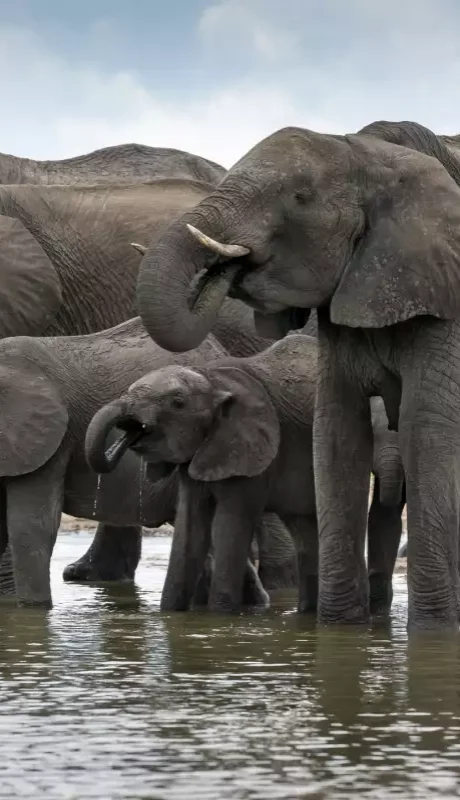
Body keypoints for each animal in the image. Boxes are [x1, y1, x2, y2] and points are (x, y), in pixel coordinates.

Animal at [86, 333, 406, 615]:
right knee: (305, 532)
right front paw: (173, 618)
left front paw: (221, 620)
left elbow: (229, 525)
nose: (127, 434)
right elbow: (190, 528)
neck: (213, 380)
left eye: (177, 402)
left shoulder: (252, 451)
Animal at [134, 119, 460, 631]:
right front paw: (340, 631)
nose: (227, 266)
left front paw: (433, 635)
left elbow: (423, 426)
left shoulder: (441, 291)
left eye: (300, 197)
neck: (371, 152)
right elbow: (337, 431)